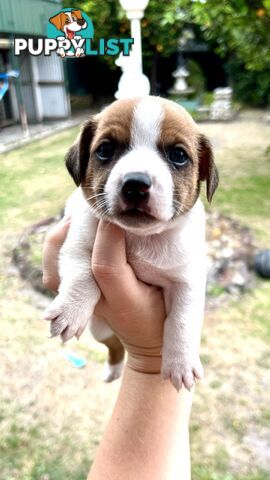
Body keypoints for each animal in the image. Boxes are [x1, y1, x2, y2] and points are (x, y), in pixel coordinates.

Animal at [43, 96, 217, 390]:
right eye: (105, 150)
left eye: (178, 155)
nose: (136, 183)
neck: (138, 237)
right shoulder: (77, 243)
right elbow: (82, 275)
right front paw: (70, 310)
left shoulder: (188, 277)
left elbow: (183, 318)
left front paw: (181, 361)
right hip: (100, 329)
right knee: (115, 346)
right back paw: (113, 368)